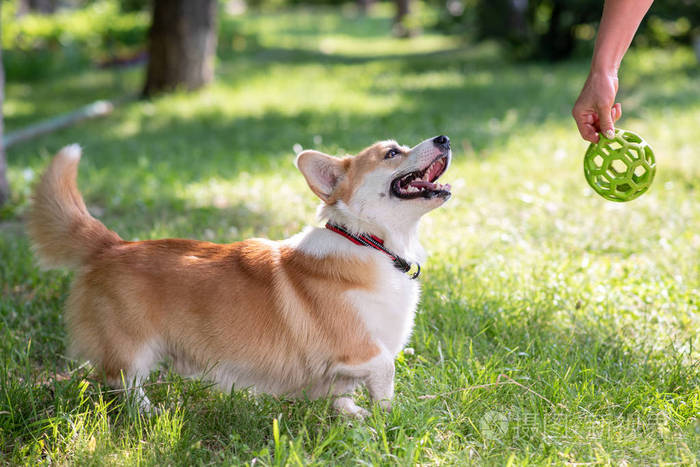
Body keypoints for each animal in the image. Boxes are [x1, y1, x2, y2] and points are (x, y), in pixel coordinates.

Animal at [26, 135, 454, 416]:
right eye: (391, 153)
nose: (444, 138)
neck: (371, 242)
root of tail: (111, 245)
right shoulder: (357, 346)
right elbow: (385, 370)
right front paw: (388, 419)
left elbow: (343, 394)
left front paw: (353, 415)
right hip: (132, 347)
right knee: (124, 381)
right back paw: (149, 412)